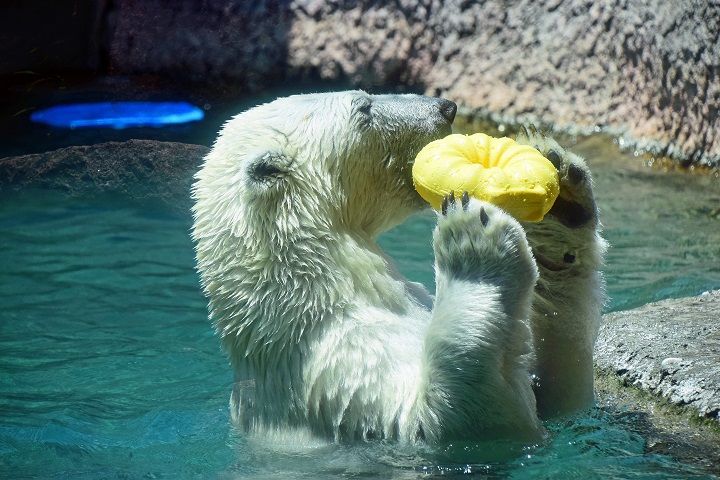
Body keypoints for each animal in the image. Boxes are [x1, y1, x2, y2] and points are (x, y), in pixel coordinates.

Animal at [193, 90, 608, 442]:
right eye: (363, 107)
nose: (446, 107)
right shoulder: (337, 376)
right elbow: (447, 421)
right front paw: (474, 243)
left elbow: (554, 392)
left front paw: (561, 202)